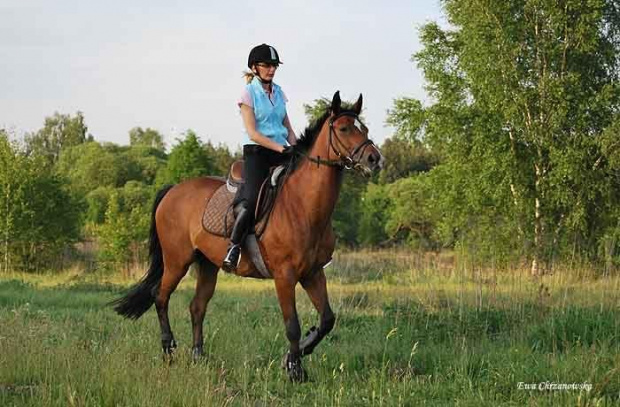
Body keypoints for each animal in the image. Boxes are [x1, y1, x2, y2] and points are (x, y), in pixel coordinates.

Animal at [111, 90, 382, 382]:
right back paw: (168, 351)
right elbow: (292, 325)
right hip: (176, 260)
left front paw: (295, 356)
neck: (301, 205)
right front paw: (295, 370)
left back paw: (198, 356)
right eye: (344, 129)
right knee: (160, 297)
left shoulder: (313, 273)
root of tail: (172, 190)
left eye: (364, 128)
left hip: (207, 264)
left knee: (197, 307)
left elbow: (327, 320)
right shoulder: (285, 276)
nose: (375, 160)